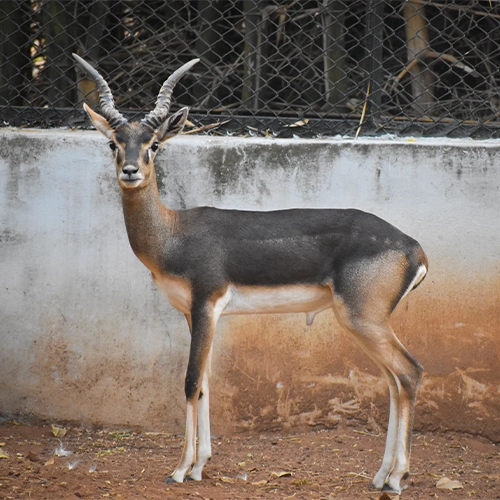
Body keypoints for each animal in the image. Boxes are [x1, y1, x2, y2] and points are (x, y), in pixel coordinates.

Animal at [74, 53, 430, 492]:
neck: (174, 234)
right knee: (395, 382)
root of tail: (414, 248)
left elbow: (190, 381)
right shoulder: (194, 313)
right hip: (364, 324)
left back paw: (397, 478)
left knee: (409, 373)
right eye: (114, 142)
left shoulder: (207, 303)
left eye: (153, 144)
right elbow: (205, 384)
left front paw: (180, 469)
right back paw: (381, 475)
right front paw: (200, 465)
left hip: (362, 319)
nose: (129, 171)